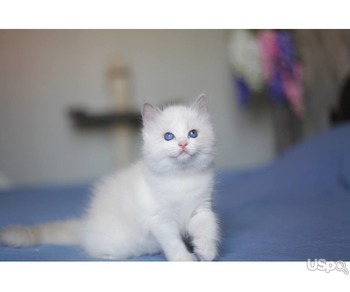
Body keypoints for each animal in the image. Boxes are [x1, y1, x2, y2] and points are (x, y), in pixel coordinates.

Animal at [0, 94, 219, 262]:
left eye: (193, 133)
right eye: (168, 136)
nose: (183, 144)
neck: (182, 179)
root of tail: (86, 223)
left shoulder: (200, 208)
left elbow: (208, 226)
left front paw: (205, 251)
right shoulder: (160, 220)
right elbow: (173, 242)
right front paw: (185, 259)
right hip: (117, 242)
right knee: (94, 247)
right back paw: (109, 257)